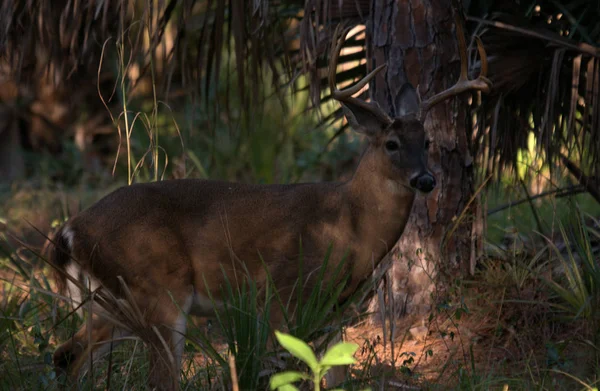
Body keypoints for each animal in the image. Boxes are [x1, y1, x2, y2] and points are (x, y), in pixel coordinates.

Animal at [45, 22, 488, 391]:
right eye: (391, 144)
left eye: (426, 141)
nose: (426, 180)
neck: (350, 226)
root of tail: (71, 229)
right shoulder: (281, 296)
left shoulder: (335, 312)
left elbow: (335, 379)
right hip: (156, 290)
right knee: (156, 379)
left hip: (113, 302)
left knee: (66, 355)